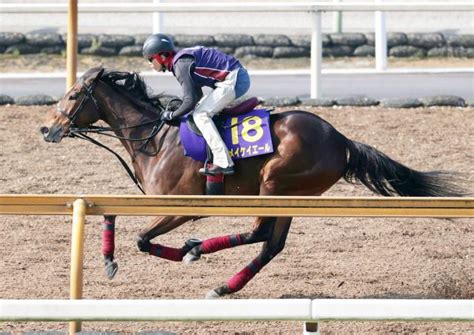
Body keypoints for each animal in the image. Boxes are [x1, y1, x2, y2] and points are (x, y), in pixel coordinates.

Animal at [40, 67, 462, 298]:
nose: (47, 129)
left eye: (74, 95)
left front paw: (181, 252)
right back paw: (223, 283)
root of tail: (342, 139)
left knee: (261, 234)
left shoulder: (183, 207)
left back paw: (200, 255)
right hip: (291, 196)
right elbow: (110, 213)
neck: (156, 137)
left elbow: (143, 240)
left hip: (276, 184)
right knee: (271, 244)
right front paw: (109, 258)